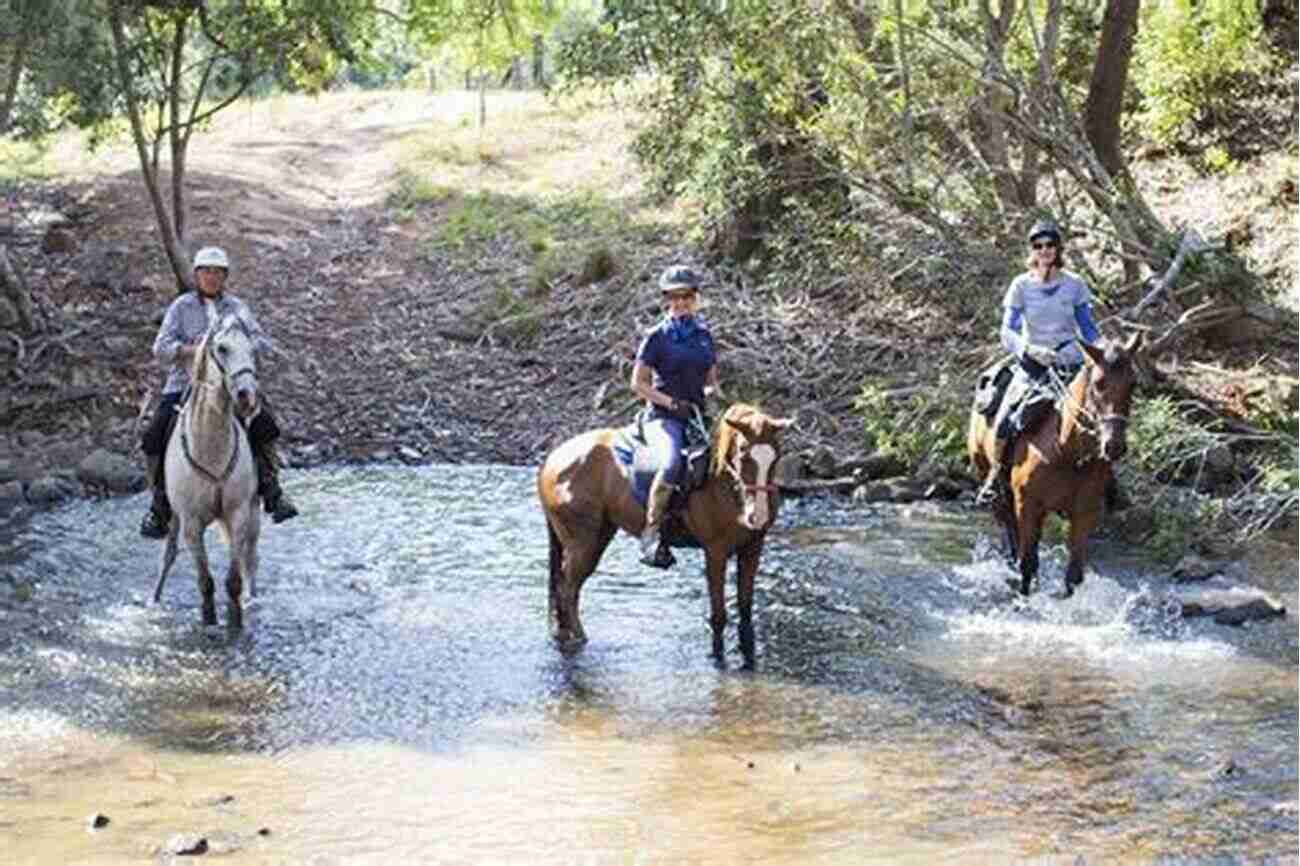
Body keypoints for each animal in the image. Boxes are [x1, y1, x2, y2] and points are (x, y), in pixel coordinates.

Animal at [153, 313, 260, 624]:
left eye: (253, 350)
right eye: (222, 348)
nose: (247, 397)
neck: (210, 445)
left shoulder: (238, 514)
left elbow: (234, 581)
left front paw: (235, 619)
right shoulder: (191, 522)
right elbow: (205, 582)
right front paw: (209, 619)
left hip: (253, 515)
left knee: (252, 559)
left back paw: (254, 598)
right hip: (174, 517)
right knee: (168, 555)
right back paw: (155, 598)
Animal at [535, 400, 790, 663]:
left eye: (776, 456)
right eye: (743, 454)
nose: (757, 517)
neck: (720, 483)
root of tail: (551, 460)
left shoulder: (752, 549)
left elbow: (746, 613)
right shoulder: (715, 552)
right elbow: (718, 616)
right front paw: (717, 658)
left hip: (598, 537)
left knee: (567, 589)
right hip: (581, 543)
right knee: (567, 591)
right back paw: (579, 639)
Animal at [972, 332, 1144, 598]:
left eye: (1133, 384)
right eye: (1099, 383)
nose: (1114, 445)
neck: (1065, 451)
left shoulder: (1084, 513)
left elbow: (1073, 575)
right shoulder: (1029, 505)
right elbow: (1027, 564)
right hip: (993, 485)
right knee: (1011, 535)